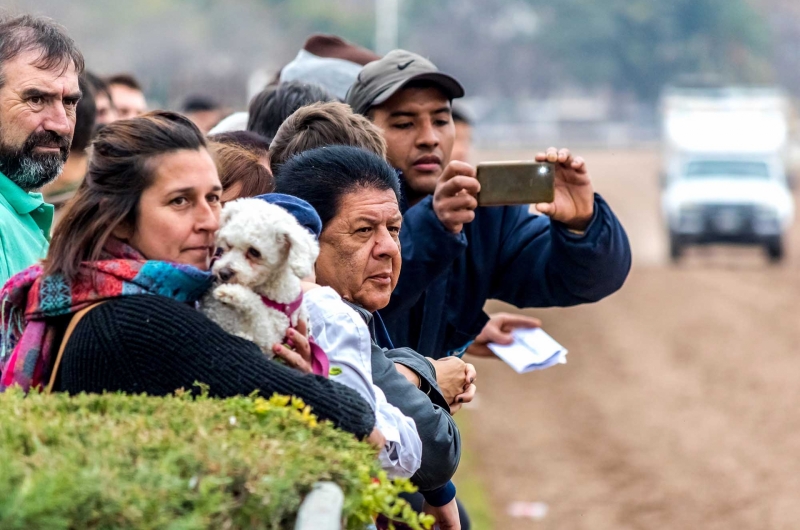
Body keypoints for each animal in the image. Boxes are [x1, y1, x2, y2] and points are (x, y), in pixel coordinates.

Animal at [202, 196, 320, 356]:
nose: (223, 273)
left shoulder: (268, 341)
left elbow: (257, 308)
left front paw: (233, 293)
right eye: (228, 245)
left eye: (254, 252)